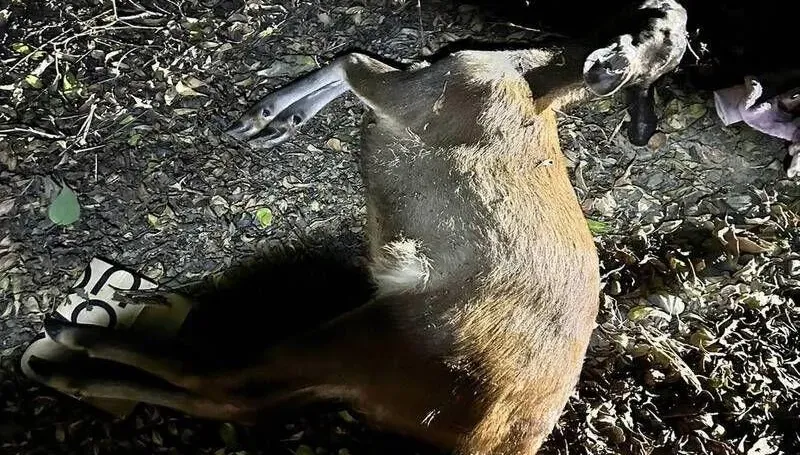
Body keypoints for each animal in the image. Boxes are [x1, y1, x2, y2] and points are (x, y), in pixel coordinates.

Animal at [27, 1, 688, 453]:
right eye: (668, 31)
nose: (676, 9)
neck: (533, 75)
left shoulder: (430, 90)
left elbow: (350, 61)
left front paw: (269, 112)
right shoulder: (431, 74)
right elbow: (358, 63)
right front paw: (279, 120)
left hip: (381, 336)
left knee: (221, 382)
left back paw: (68, 353)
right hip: (360, 367)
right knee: (243, 400)